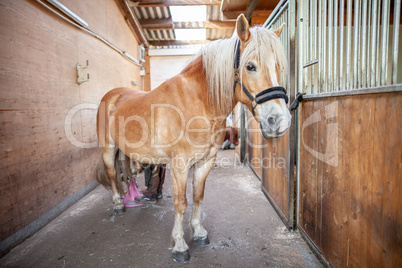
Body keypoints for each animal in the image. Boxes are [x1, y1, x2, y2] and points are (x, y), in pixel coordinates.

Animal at [96, 14, 290, 262]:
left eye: (278, 66)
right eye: (250, 66)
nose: (280, 121)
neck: (196, 102)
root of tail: (112, 95)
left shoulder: (205, 162)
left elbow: (198, 197)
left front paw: (198, 233)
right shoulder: (179, 165)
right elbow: (181, 203)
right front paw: (180, 245)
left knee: (128, 172)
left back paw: (134, 197)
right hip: (108, 148)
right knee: (112, 173)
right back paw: (119, 204)